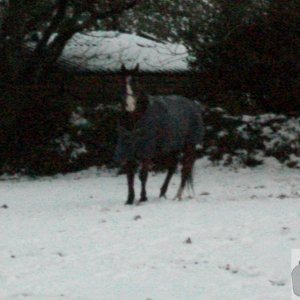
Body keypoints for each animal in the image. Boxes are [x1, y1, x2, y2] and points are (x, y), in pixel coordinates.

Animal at [115, 64, 204, 205]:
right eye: (122, 83)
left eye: (136, 83)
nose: (130, 105)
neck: (136, 121)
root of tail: (193, 104)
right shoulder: (128, 148)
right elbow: (130, 175)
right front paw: (129, 199)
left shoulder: (147, 149)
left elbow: (143, 175)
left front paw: (143, 198)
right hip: (172, 147)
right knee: (172, 167)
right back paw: (162, 193)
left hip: (189, 145)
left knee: (185, 170)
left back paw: (178, 196)